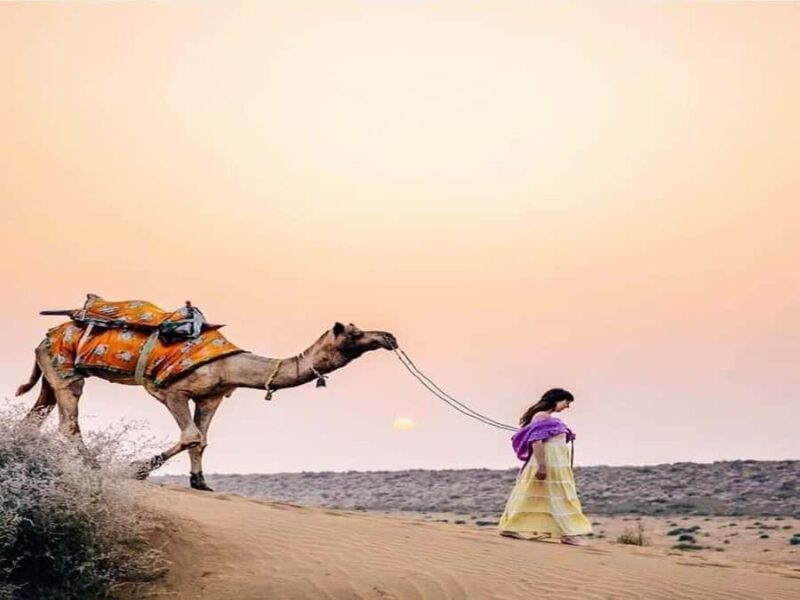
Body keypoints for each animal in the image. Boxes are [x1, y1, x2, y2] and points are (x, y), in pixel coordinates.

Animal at [15, 321, 397, 491]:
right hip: (66, 370)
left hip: (51, 373)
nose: (388, 337)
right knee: (68, 420)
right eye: (354, 332)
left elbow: (202, 439)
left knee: (37, 413)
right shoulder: (172, 391)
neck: (231, 365)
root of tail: (44, 337)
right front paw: (136, 469)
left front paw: (200, 482)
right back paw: (93, 467)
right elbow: (191, 436)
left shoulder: (212, 396)